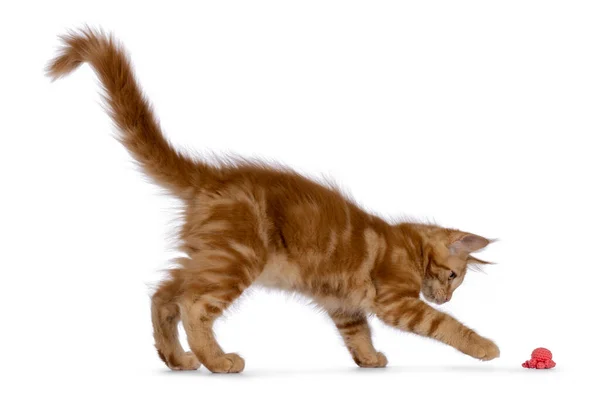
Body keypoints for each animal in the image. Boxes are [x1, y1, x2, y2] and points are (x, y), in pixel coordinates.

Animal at [47, 28, 500, 376]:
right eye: (454, 277)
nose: (447, 296)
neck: (409, 245)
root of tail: (214, 177)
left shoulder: (343, 305)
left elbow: (359, 334)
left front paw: (370, 359)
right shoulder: (397, 301)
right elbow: (446, 326)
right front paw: (484, 346)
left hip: (206, 257)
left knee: (162, 296)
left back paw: (177, 359)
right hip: (235, 260)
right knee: (194, 306)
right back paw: (218, 361)